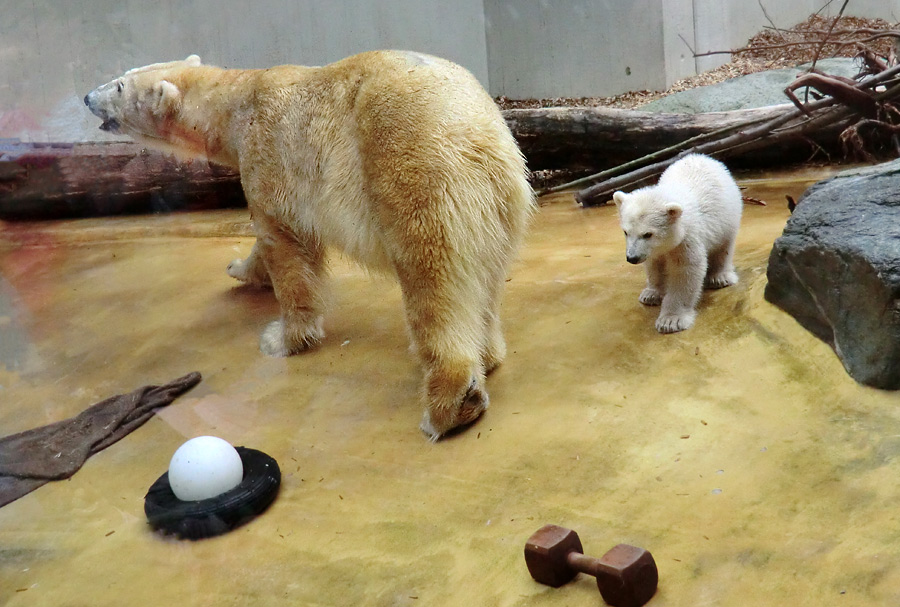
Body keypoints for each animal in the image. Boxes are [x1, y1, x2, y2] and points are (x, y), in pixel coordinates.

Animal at [84, 52, 536, 440]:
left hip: (414, 169)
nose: (88, 97)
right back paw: (488, 354)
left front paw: (282, 338)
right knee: (485, 279)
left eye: (120, 85)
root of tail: (477, 131)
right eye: (123, 74)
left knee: (432, 277)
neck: (236, 105)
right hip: (500, 202)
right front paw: (239, 267)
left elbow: (285, 245)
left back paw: (448, 405)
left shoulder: (271, 156)